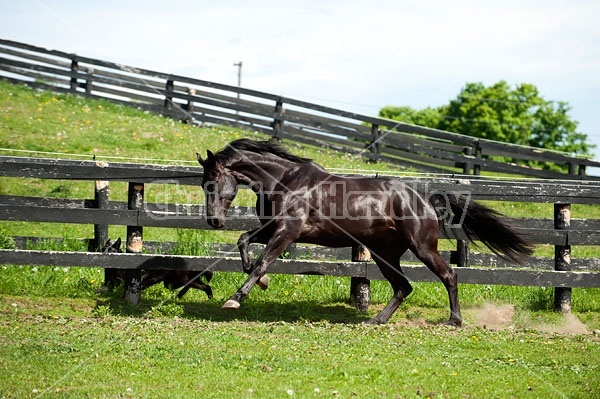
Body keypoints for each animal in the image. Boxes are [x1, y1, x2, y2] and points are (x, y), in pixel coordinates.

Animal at [199, 139, 532, 326]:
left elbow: (261, 263)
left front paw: (235, 299)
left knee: (449, 276)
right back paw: (376, 320)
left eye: (213, 182)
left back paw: (454, 320)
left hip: (423, 247)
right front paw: (261, 282)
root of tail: (425, 199)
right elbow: (244, 243)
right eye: (204, 184)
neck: (285, 181)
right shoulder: (272, 229)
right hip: (385, 255)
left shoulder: (286, 232)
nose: (213, 221)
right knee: (403, 287)